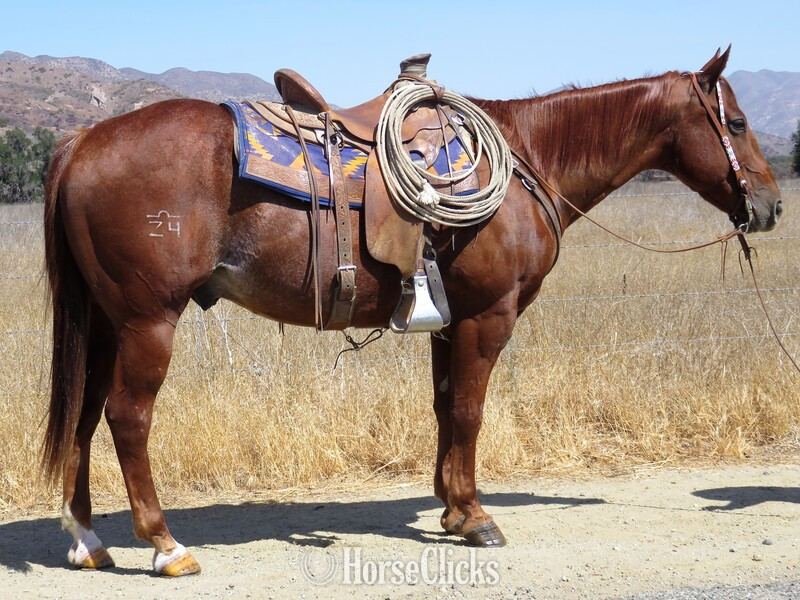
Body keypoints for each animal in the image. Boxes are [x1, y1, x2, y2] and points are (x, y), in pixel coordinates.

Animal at [42, 48, 781, 575]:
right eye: (737, 123)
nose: (771, 206)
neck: (527, 159)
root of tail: (83, 140)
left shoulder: (448, 322)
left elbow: (445, 405)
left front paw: (452, 508)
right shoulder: (489, 317)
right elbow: (471, 410)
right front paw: (478, 517)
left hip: (105, 322)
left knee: (84, 412)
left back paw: (87, 539)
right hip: (147, 322)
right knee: (127, 418)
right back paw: (165, 545)